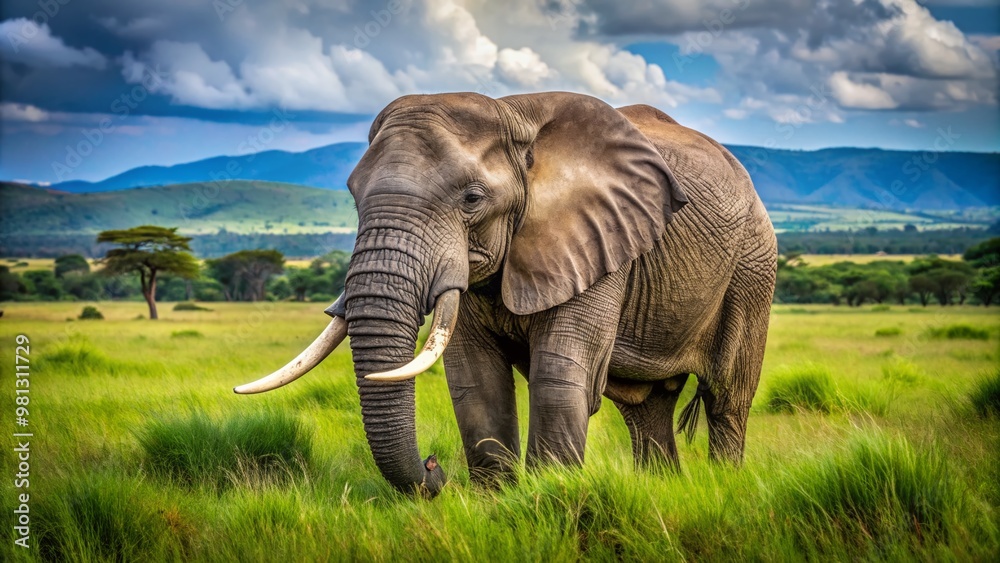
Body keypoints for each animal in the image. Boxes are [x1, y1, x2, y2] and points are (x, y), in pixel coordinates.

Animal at [235, 91, 777, 497]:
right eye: (352, 197)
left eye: (473, 199)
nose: (433, 466)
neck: (514, 115)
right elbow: (476, 379)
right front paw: (497, 501)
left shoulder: (602, 240)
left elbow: (560, 372)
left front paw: (550, 496)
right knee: (648, 407)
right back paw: (664, 489)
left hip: (753, 267)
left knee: (727, 397)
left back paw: (724, 485)